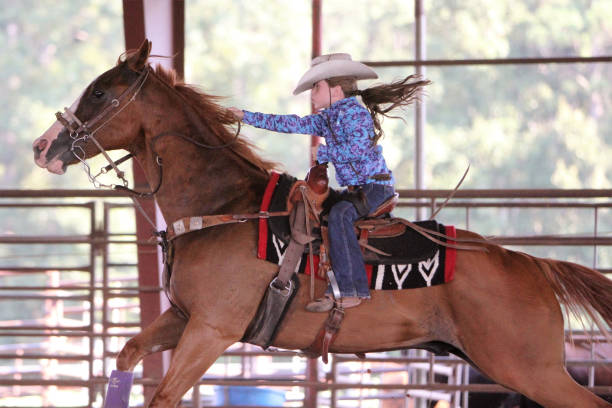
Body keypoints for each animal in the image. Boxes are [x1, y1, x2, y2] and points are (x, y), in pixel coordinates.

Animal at [32, 39, 612, 408]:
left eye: (100, 92)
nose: (42, 147)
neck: (223, 206)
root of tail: (530, 264)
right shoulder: (182, 318)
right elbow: (128, 354)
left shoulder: (212, 330)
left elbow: (166, 395)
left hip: (529, 369)